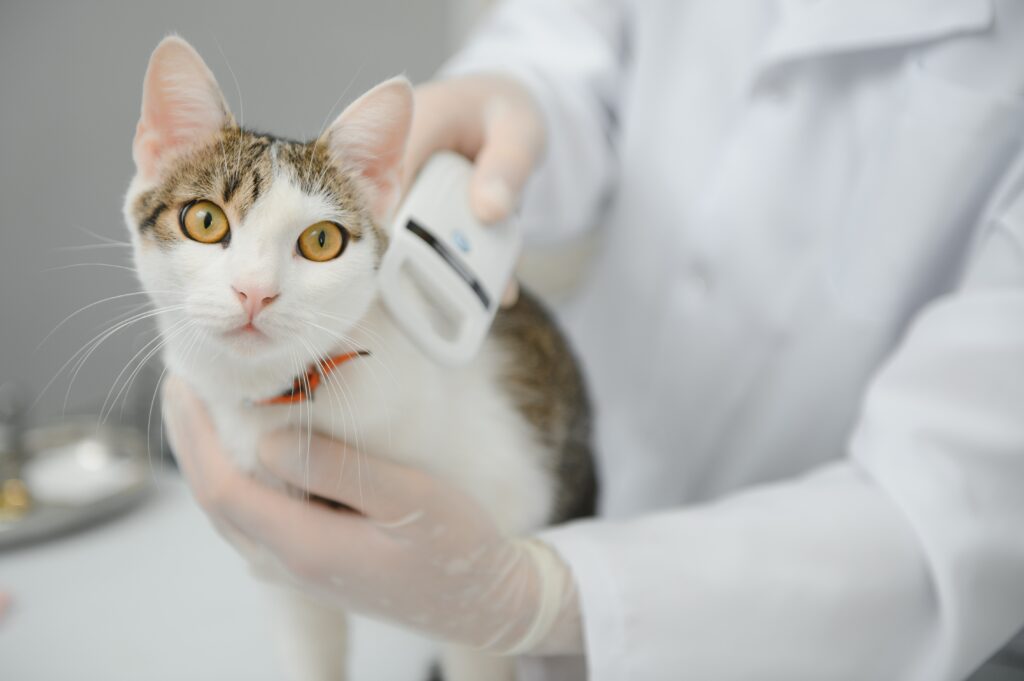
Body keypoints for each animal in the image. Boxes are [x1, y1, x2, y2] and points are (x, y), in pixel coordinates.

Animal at [123, 37, 598, 679]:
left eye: (321, 241)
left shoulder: (501, 500)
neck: (288, 396)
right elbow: (308, 642)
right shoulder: (285, 569)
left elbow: (477, 638)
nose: (255, 292)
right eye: (204, 220)